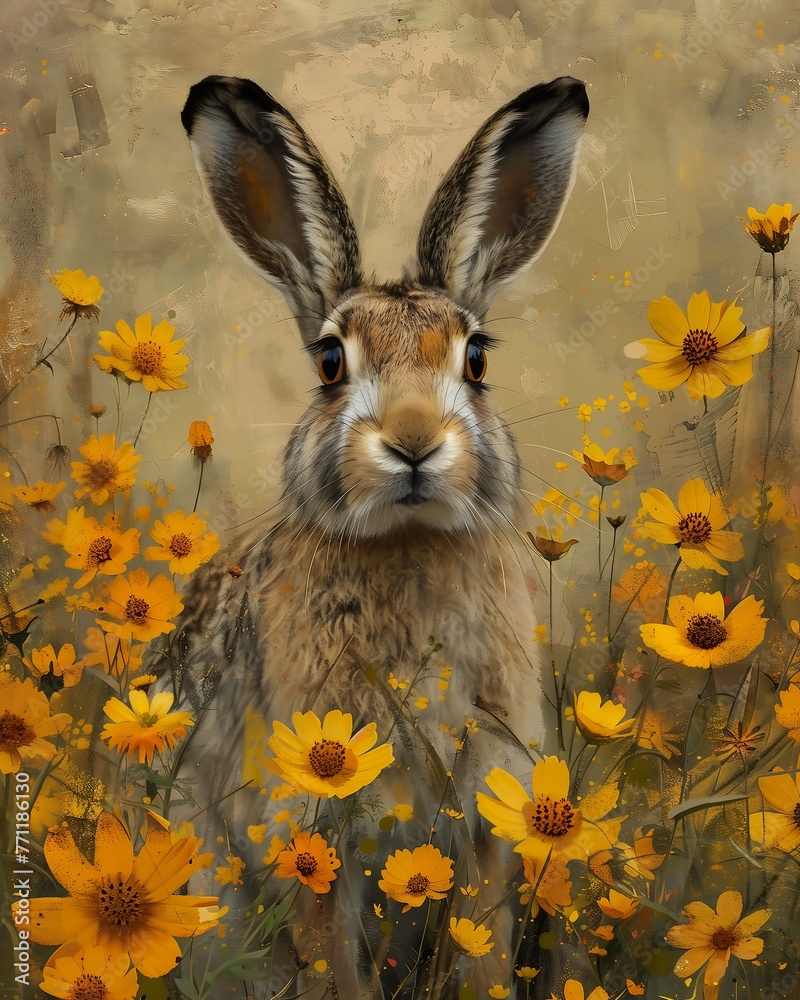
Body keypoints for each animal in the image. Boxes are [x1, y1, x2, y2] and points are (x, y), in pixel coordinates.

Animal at [165, 74, 589, 1000]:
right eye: (330, 362)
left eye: (476, 358)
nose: (414, 440)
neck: (410, 542)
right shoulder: (311, 825)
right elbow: (331, 962)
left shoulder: (488, 808)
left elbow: (482, 945)